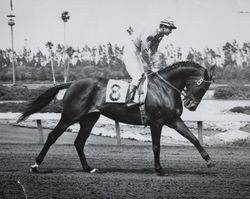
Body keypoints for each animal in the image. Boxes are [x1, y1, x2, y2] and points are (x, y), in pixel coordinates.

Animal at [17, 61, 216, 174]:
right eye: (201, 85)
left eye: (207, 87)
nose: (191, 105)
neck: (164, 88)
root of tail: (72, 83)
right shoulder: (157, 122)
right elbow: (156, 146)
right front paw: (159, 169)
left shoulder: (173, 120)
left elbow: (193, 139)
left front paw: (209, 161)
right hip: (70, 116)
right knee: (52, 136)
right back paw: (35, 166)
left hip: (89, 119)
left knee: (79, 142)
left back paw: (88, 168)